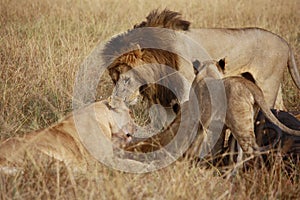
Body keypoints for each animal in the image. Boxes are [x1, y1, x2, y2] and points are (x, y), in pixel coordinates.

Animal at [104, 8, 298, 109]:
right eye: (114, 80)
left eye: (127, 79)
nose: (113, 103)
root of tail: (286, 43)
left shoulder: (186, 87)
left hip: (267, 85)